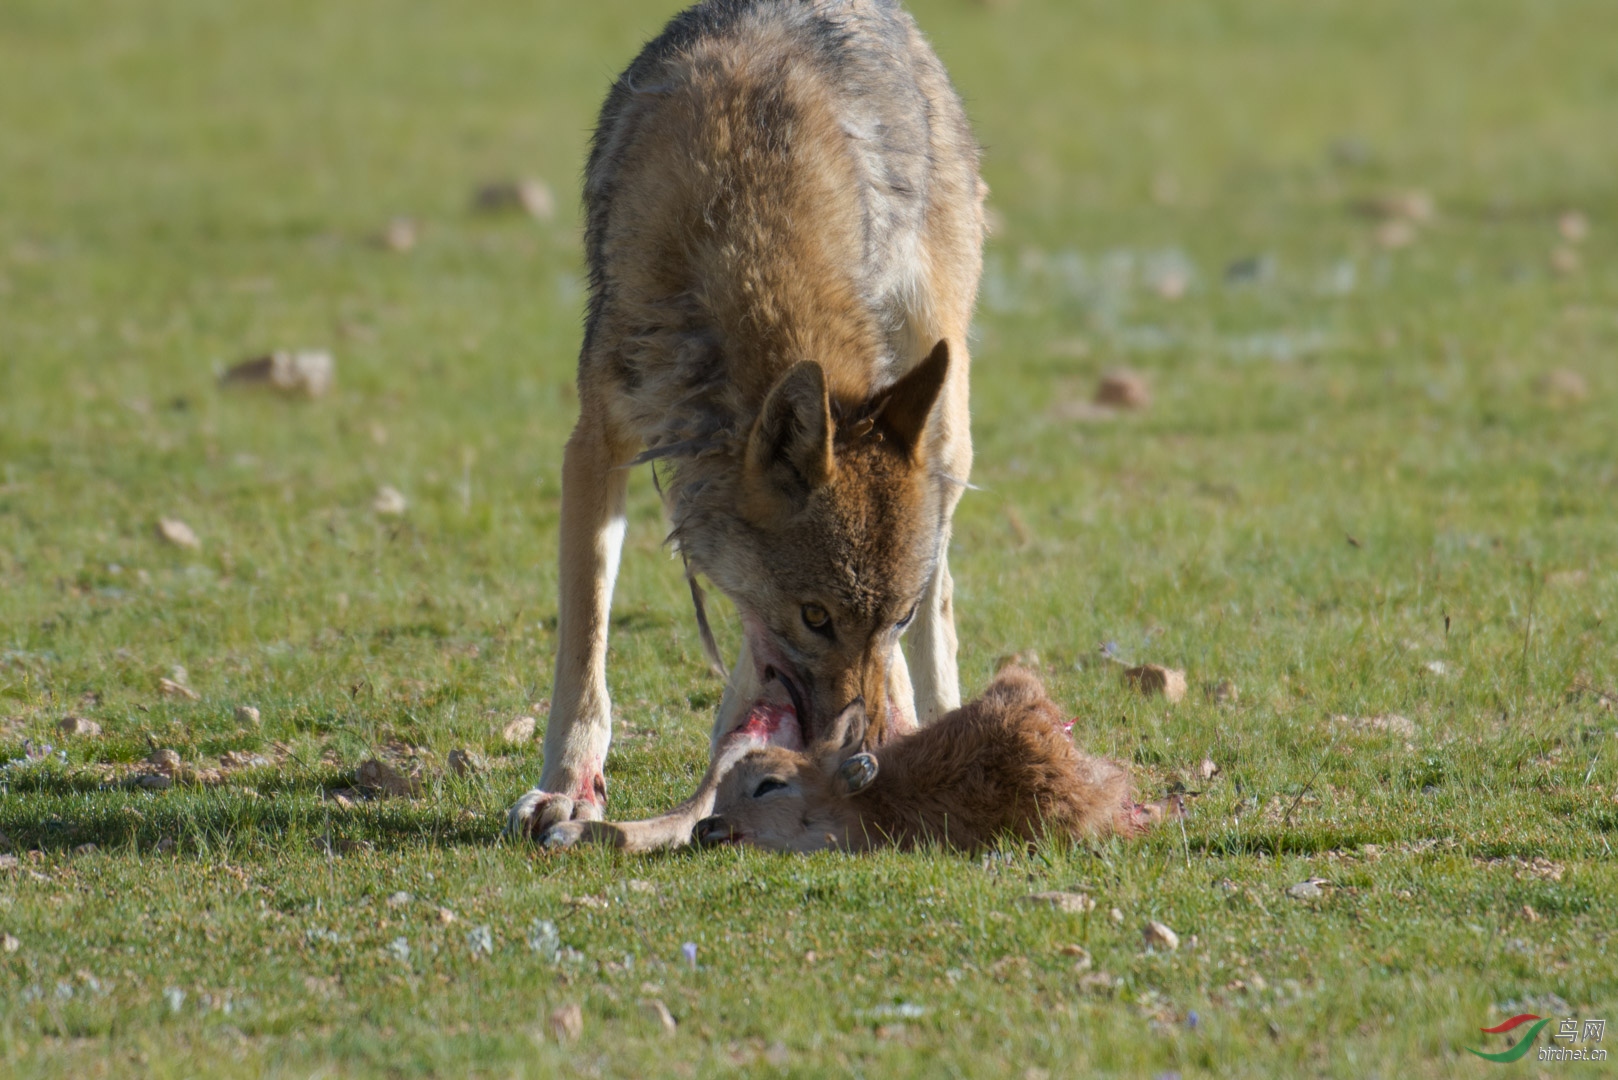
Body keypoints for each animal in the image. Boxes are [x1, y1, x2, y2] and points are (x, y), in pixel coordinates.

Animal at [508, 0, 983, 848]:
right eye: (816, 616)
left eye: (889, 616)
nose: (866, 756)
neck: (744, 223)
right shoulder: (596, 443)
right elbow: (585, 640)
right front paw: (566, 788)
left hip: (948, 416)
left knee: (943, 598)